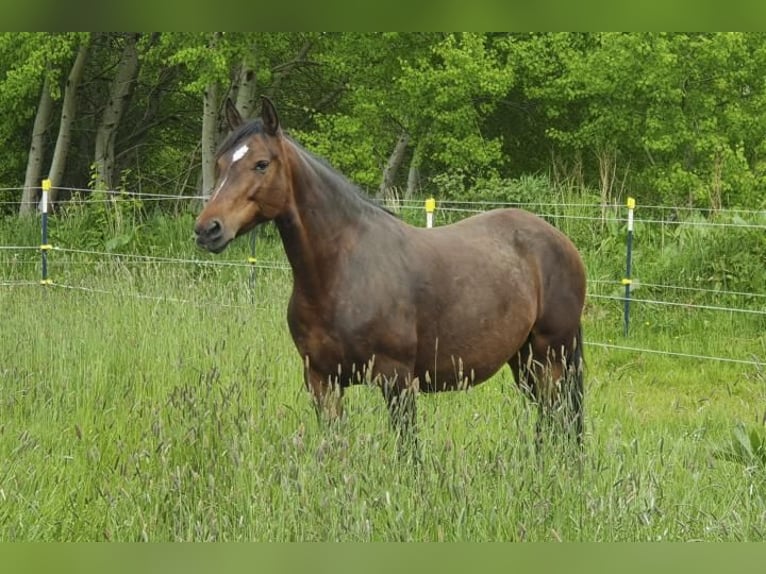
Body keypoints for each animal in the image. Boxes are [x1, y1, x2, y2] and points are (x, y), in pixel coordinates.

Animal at [194, 98, 588, 450]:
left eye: (261, 163)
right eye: (221, 163)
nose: (208, 229)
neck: (340, 273)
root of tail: (560, 241)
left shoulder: (396, 380)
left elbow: (407, 453)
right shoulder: (321, 381)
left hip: (552, 356)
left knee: (560, 418)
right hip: (525, 361)